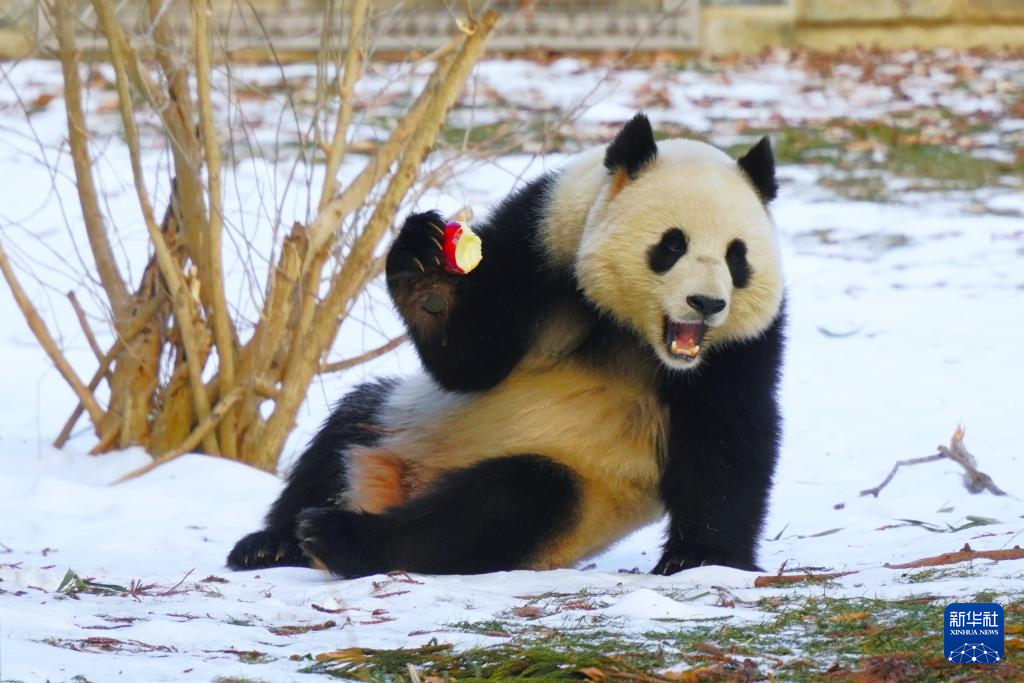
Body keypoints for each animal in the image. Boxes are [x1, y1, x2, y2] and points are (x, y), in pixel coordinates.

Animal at [230, 114, 782, 581]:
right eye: (671, 245)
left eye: (737, 257)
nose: (706, 303)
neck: (628, 328)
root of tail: (407, 484)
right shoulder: (543, 236)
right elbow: (470, 360)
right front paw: (427, 276)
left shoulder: (743, 344)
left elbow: (729, 432)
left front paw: (701, 557)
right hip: (404, 417)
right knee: (344, 432)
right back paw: (274, 543)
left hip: (585, 495)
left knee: (506, 503)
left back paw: (341, 537)